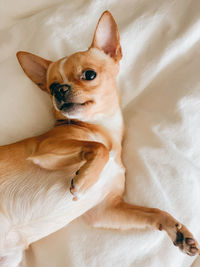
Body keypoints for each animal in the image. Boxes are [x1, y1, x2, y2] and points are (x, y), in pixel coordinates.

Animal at [0, 11, 198, 267]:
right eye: (51, 87)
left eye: (89, 75)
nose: (59, 90)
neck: (102, 128)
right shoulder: (45, 150)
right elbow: (97, 147)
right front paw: (85, 180)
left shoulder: (105, 210)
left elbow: (153, 212)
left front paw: (177, 230)